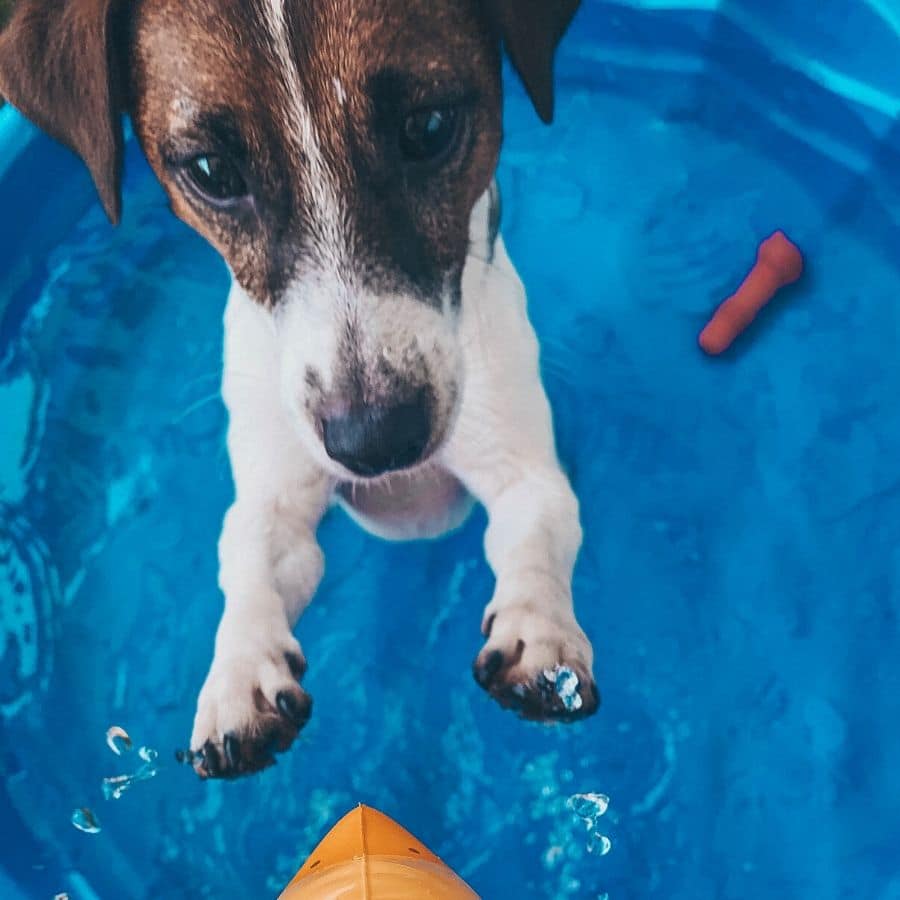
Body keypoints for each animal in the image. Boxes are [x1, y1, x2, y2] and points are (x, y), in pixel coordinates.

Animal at [3, 0, 600, 776]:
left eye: (429, 128)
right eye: (212, 171)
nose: (375, 442)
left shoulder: (522, 466)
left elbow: (538, 532)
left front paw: (541, 632)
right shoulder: (275, 492)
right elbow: (253, 561)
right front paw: (239, 674)